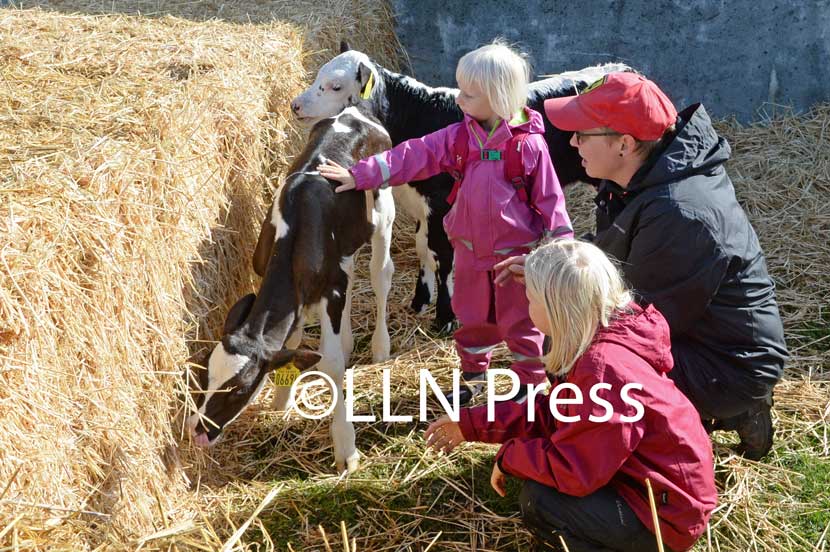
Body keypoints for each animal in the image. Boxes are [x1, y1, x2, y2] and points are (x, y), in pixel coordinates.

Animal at [188, 104, 396, 474]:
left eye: (239, 390)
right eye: (204, 376)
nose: (198, 432)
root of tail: (354, 110)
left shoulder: (332, 290)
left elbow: (330, 363)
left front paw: (345, 447)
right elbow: (292, 340)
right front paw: (281, 398)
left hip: (383, 211)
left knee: (380, 274)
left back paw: (379, 345)